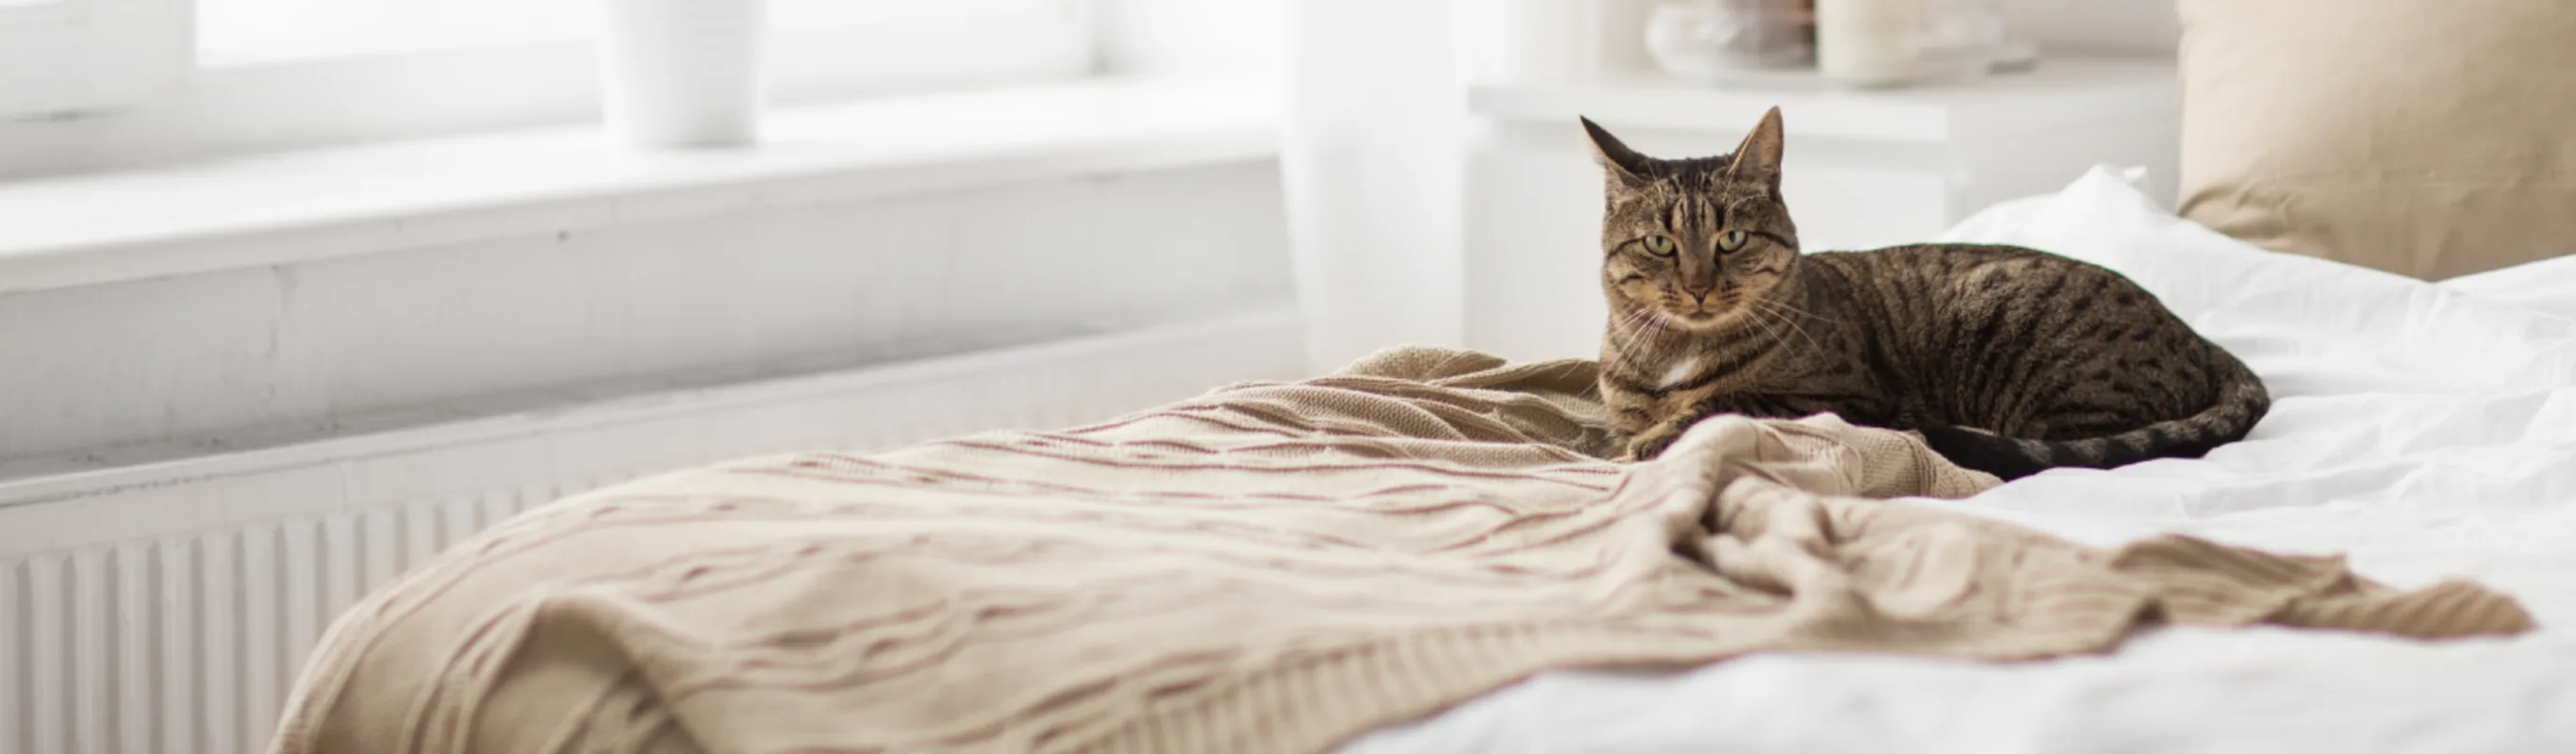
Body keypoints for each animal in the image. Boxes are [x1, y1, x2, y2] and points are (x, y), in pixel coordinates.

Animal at [1576, 107, 2267, 476]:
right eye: (1659, 244)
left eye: (1732, 239)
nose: (1697, 288)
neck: (1676, 354)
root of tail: (2201, 340)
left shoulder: (1845, 397)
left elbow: (1729, 401)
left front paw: (1656, 438)